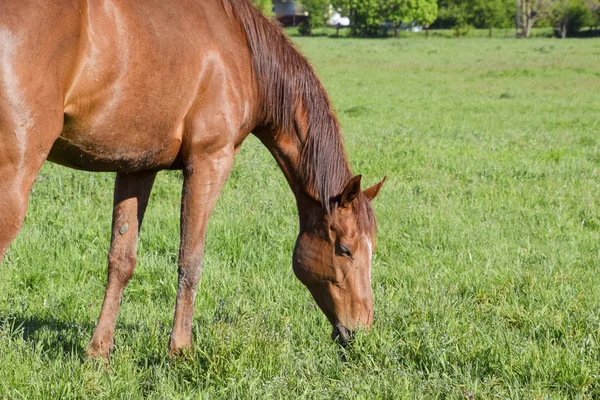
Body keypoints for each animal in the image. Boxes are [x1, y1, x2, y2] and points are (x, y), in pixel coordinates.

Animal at [0, 0, 384, 360]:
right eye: (345, 249)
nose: (361, 331)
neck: (242, 51)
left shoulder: (136, 167)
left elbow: (121, 260)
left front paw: (98, 353)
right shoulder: (209, 162)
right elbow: (191, 260)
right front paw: (180, 351)